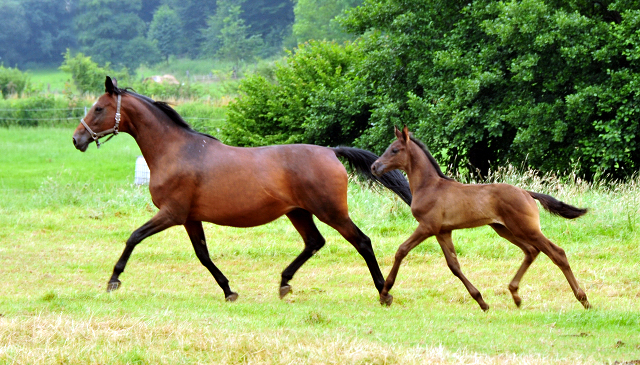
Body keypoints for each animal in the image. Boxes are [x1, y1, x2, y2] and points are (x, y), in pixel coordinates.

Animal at [370, 126, 592, 310]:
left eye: (395, 150)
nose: (374, 167)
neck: (430, 186)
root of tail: (527, 193)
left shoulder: (427, 227)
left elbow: (401, 250)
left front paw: (385, 293)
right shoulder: (443, 231)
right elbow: (454, 266)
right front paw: (482, 301)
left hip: (526, 228)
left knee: (557, 253)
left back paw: (583, 299)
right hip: (504, 229)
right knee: (531, 251)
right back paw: (516, 296)